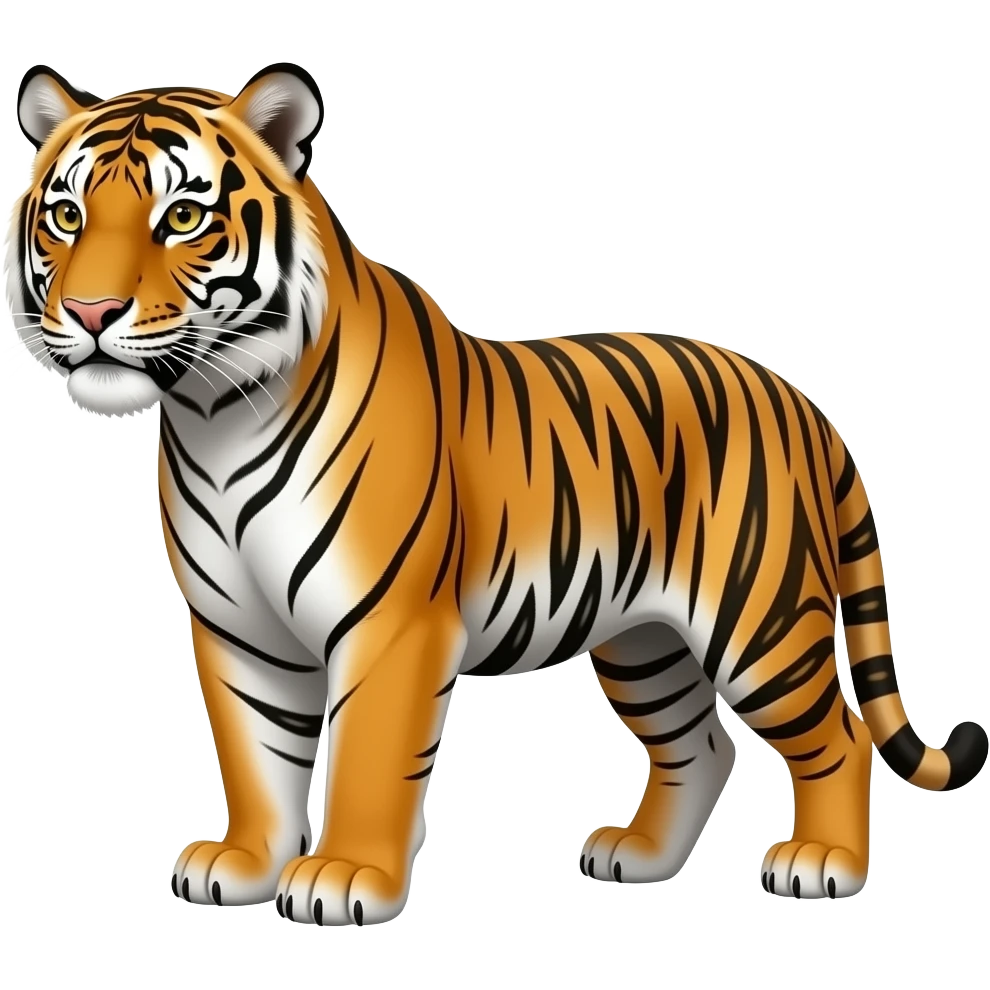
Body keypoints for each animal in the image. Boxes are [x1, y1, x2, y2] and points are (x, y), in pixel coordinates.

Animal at [4, 62, 986, 927]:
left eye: (181, 216)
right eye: (66, 215)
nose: (89, 314)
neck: (214, 415)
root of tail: (800, 400)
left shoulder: (391, 623)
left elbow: (365, 758)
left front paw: (344, 878)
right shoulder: (236, 628)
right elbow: (257, 756)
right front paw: (243, 864)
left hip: (761, 620)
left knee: (839, 739)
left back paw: (823, 865)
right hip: (645, 640)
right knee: (700, 746)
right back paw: (639, 858)